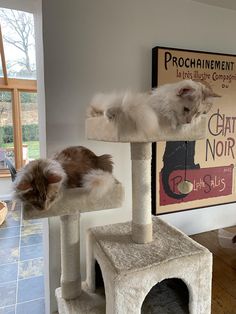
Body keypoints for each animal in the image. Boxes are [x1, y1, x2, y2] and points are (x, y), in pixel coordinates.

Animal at [87, 79, 220, 137]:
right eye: (186, 109)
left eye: (197, 113)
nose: (188, 122)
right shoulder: (139, 105)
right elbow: (122, 108)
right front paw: (110, 113)